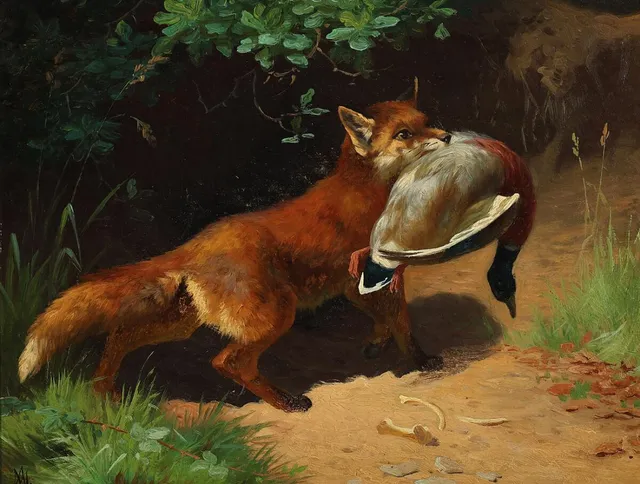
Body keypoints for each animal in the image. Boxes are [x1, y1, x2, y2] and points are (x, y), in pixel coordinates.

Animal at [18, 79, 452, 413]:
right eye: (404, 134)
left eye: (427, 124)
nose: (447, 136)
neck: (369, 192)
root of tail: (195, 245)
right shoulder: (376, 272)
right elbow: (402, 323)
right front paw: (423, 361)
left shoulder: (354, 282)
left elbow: (382, 319)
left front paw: (377, 345)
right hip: (275, 316)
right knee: (228, 362)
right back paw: (286, 402)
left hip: (181, 323)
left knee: (121, 335)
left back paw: (104, 392)